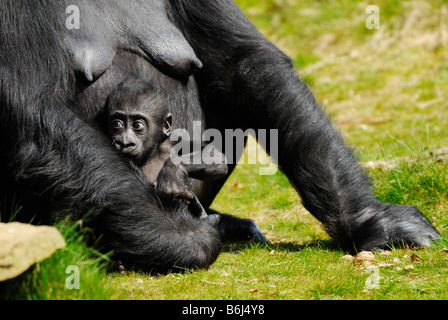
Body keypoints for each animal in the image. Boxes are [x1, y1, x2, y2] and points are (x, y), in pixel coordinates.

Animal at [105, 77, 220, 218]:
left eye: (137, 125)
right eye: (117, 124)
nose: (125, 142)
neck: (150, 154)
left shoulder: (173, 142)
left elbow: (214, 155)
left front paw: (173, 172)